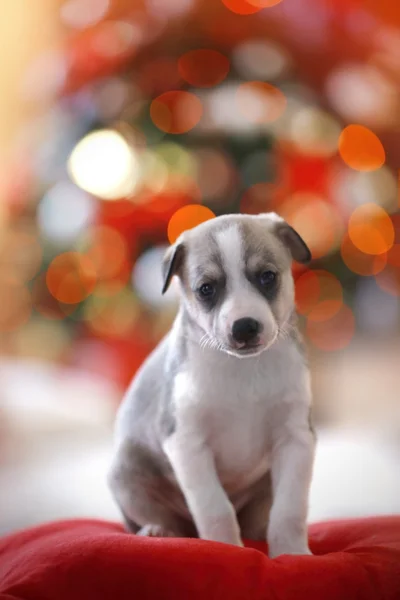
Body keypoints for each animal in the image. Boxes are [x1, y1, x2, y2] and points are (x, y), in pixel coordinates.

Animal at [108, 212, 316, 556]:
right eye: (206, 289)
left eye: (267, 277)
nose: (245, 327)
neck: (242, 370)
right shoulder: (187, 444)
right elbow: (215, 508)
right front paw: (226, 549)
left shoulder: (296, 438)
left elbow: (289, 510)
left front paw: (292, 554)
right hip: (126, 471)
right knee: (159, 519)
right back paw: (158, 531)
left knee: (260, 518)